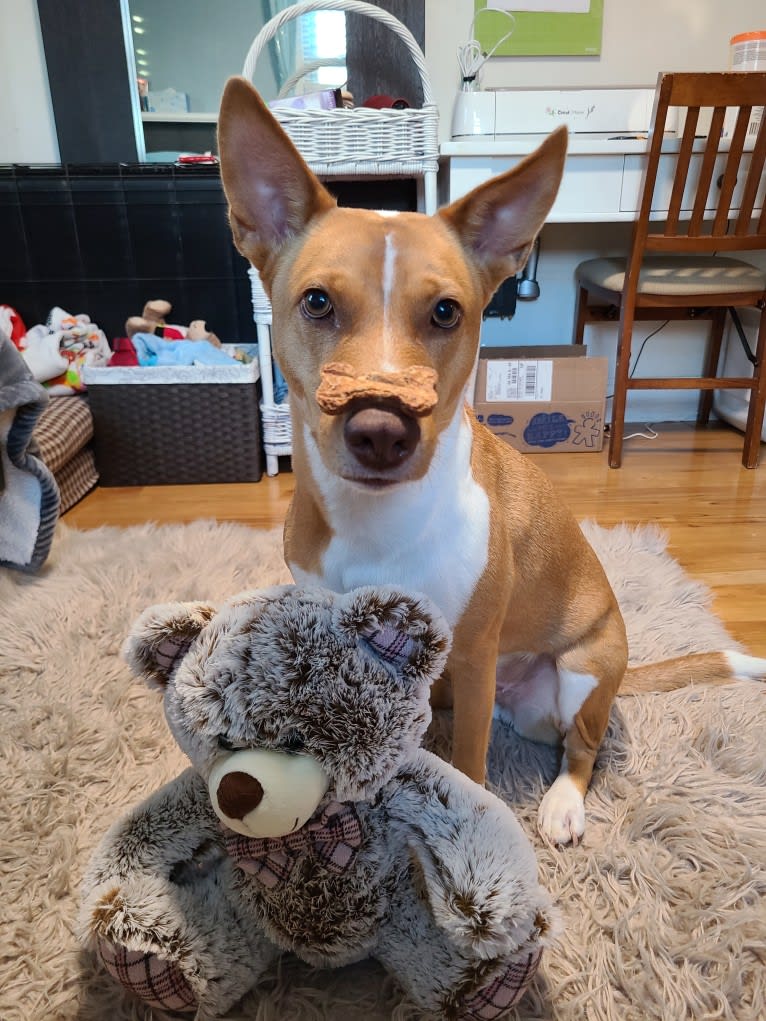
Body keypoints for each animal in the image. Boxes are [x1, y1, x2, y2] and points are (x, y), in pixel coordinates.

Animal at [217, 79, 766, 845]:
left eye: (447, 311)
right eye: (317, 302)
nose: (381, 431)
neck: (374, 520)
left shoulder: (473, 653)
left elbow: (473, 764)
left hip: (581, 670)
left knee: (583, 747)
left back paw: (563, 804)